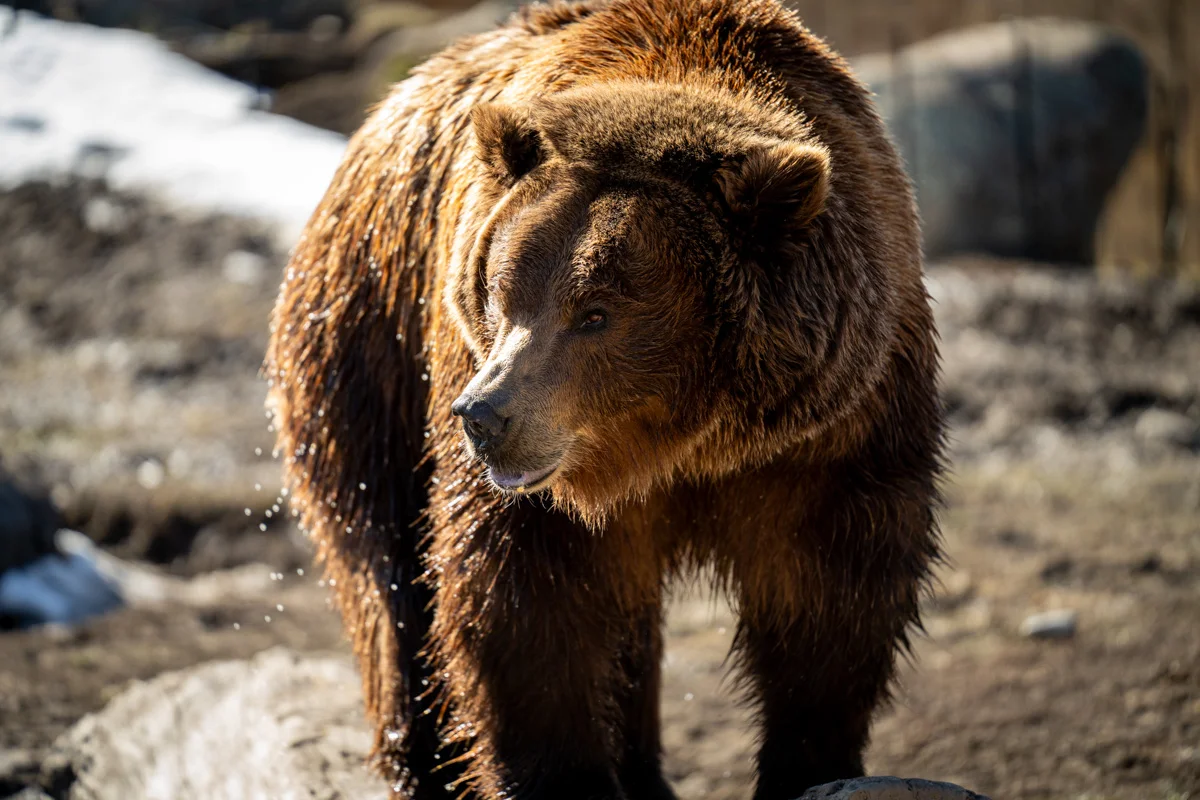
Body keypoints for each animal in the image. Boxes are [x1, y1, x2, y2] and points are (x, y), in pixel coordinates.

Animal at [264, 1, 945, 799]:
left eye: (595, 312)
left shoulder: (834, 425)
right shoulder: (519, 453)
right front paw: (565, 778)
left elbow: (833, 602)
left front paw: (807, 763)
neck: (685, 442)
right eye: (500, 290)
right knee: (389, 572)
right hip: (367, 337)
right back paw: (423, 763)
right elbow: (524, 602)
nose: (484, 416)